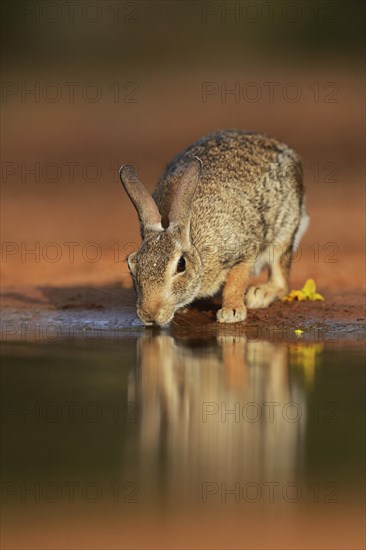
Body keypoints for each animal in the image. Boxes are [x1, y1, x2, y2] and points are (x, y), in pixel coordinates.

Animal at [120, 130, 308, 328]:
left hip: (284, 231)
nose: (149, 315)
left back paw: (260, 294)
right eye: (131, 264)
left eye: (181, 265)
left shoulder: (243, 251)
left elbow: (235, 282)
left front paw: (232, 312)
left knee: (280, 275)